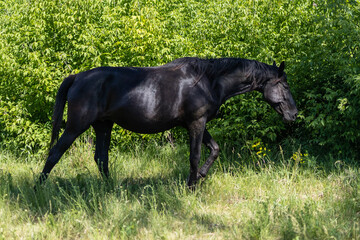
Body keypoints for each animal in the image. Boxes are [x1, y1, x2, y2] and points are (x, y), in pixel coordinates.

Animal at [38, 57, 298, 187]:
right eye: (284, 85)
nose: (294, 114)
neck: (208, 81)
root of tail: (77, 77)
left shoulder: (196, 123)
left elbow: (214, 149)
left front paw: (200, 176)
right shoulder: (196, 123)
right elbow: (195, 155)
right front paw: (191, 186)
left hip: (103, 125)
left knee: (101, 159)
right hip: (75, 127)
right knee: (55, 153)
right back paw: (38, 188)